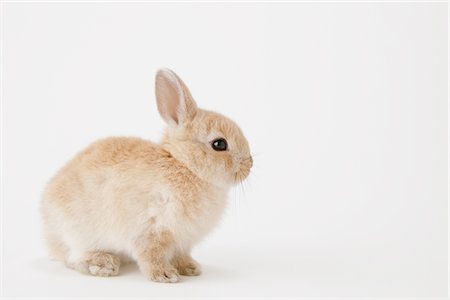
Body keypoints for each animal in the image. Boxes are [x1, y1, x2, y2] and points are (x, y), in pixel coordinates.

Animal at [40, 69, 251, 282]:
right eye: (219, 144)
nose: (249, 165)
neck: (184, 164)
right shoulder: (150, 229)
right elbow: (151, 255)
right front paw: (164, 275)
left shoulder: (182, 240)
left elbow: (180, 254)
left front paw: (190, 268)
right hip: (77, 233)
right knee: (73, 257)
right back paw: (104, 264)